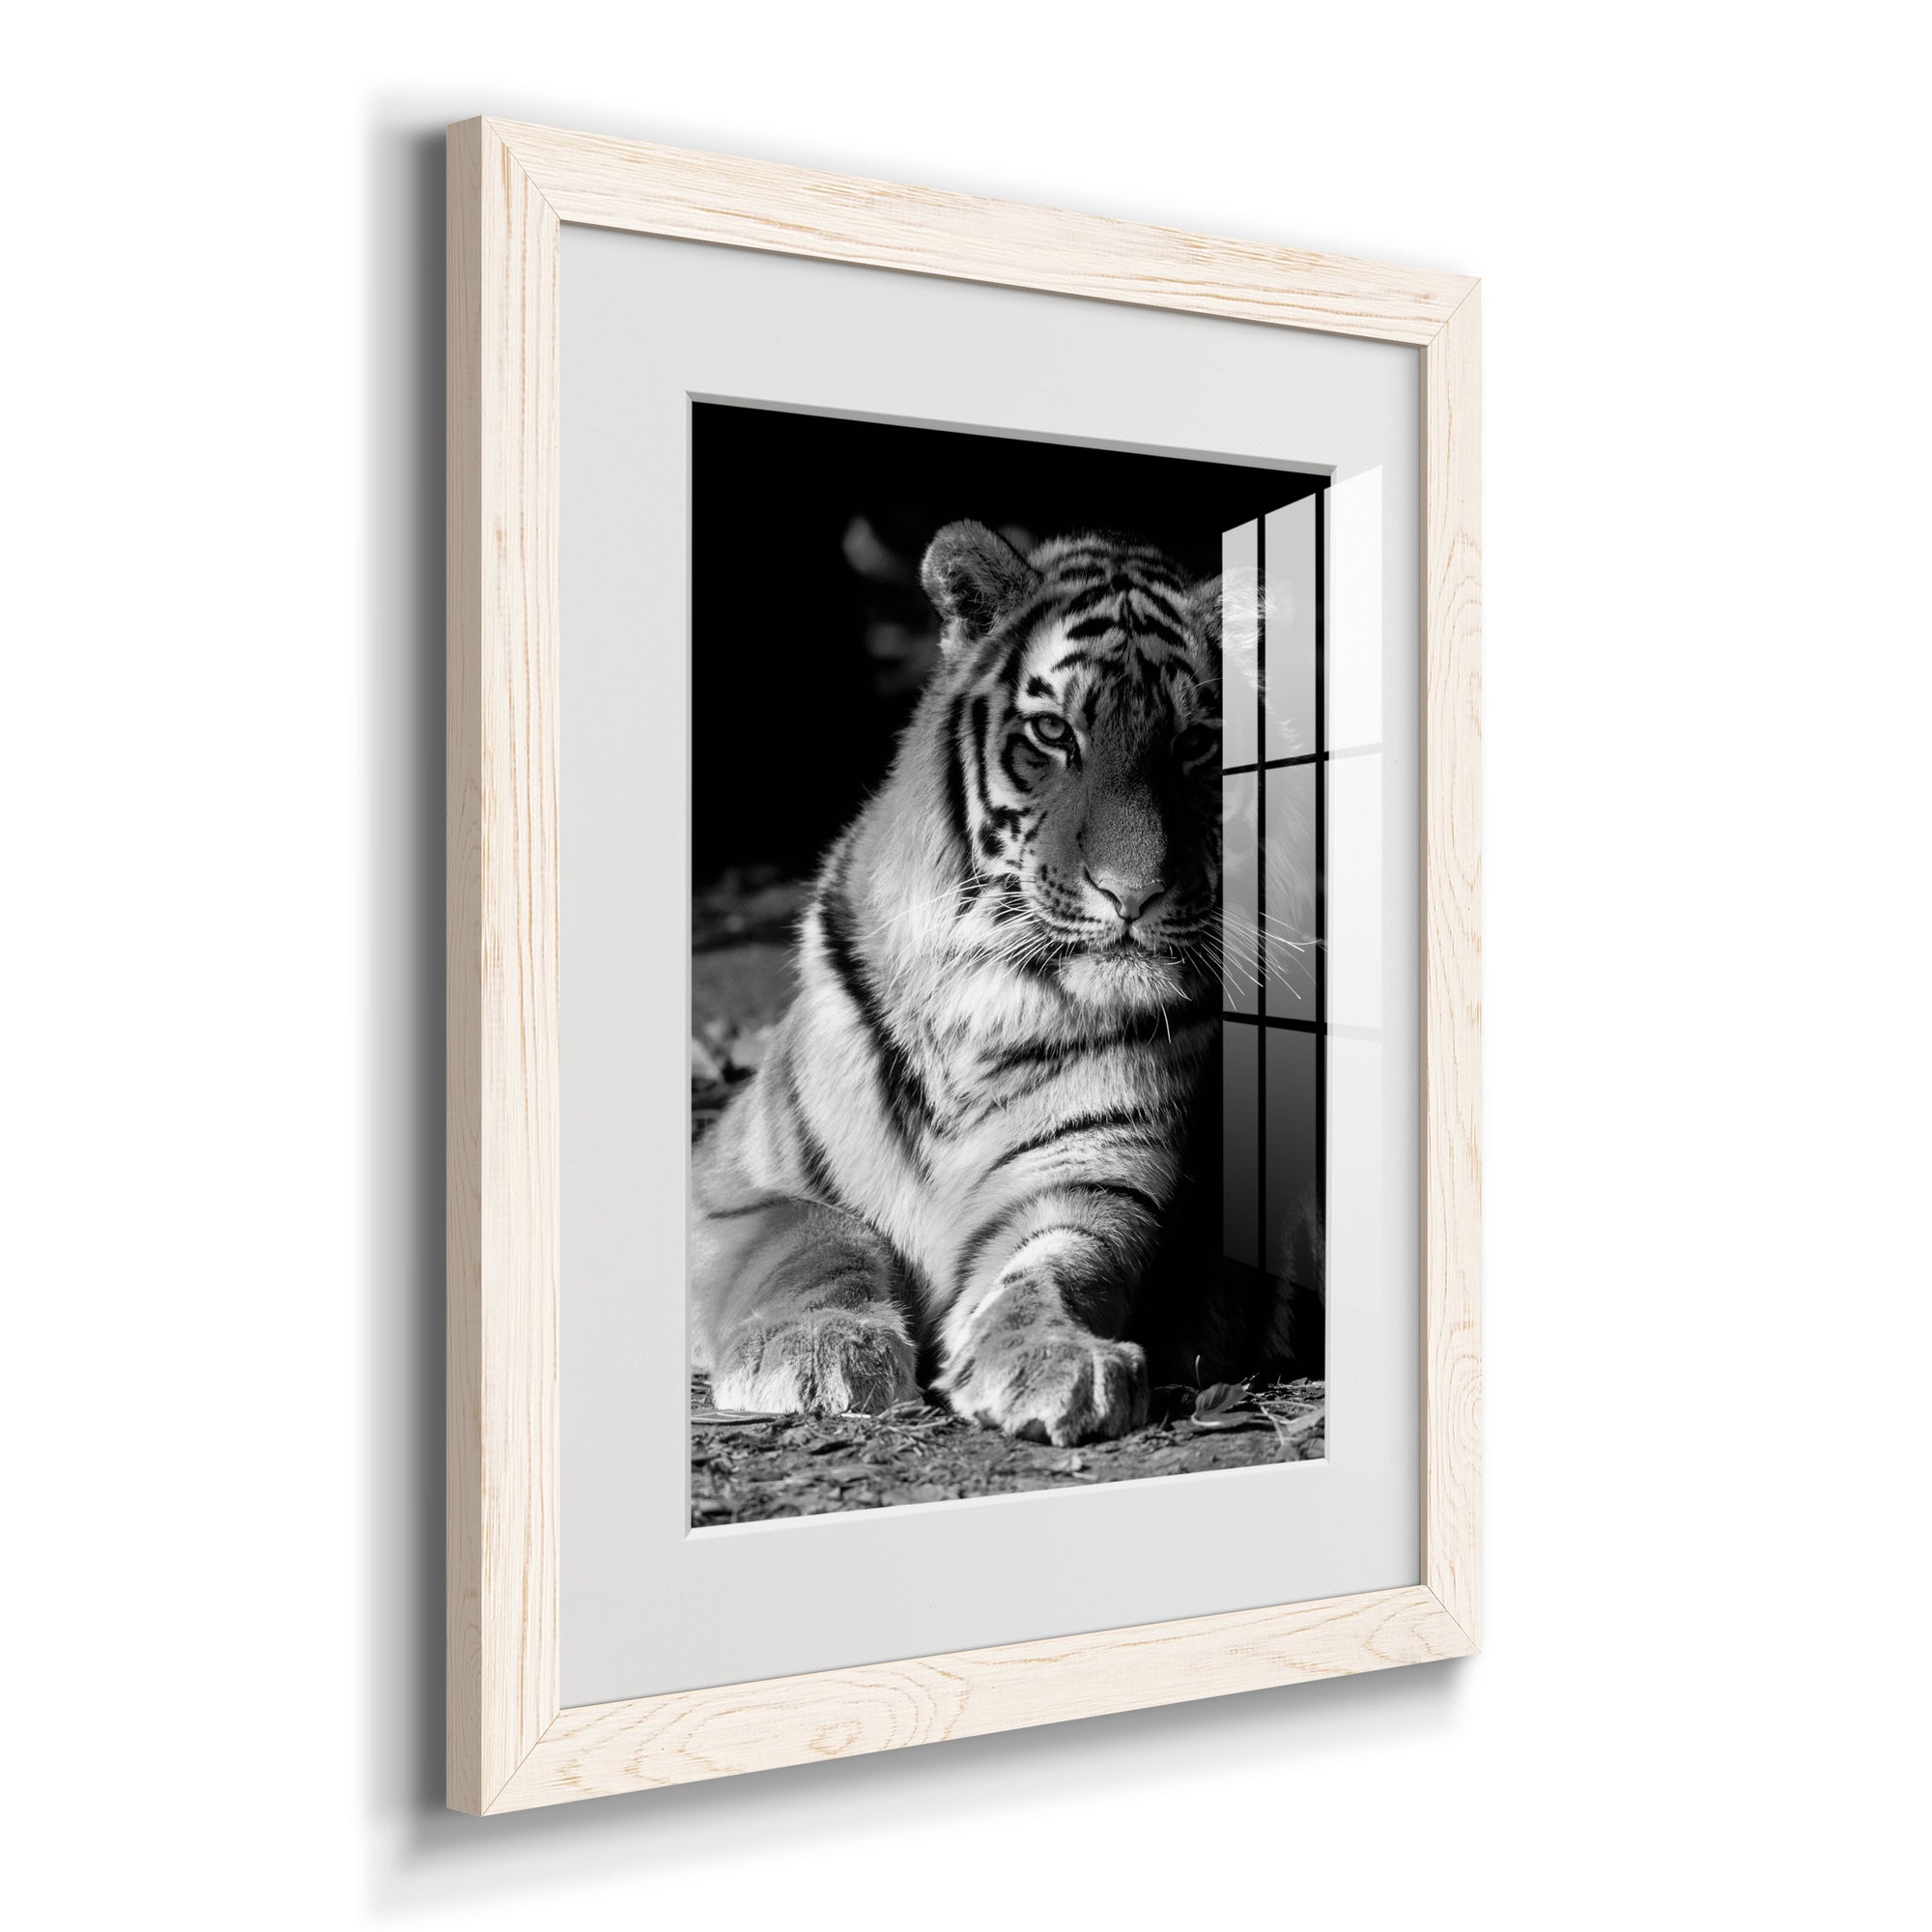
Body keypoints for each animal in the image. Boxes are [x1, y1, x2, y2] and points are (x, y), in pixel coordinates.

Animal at [691, 520, 1287, 1446]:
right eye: (1053, 733)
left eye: (1196, 744)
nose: (1133, 894)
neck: (989, 999)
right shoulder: (728, 1185)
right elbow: (816, 1233)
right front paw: (819, 1348)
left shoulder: (1090, 1182)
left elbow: (1055, 1268)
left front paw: (1054, 1359)